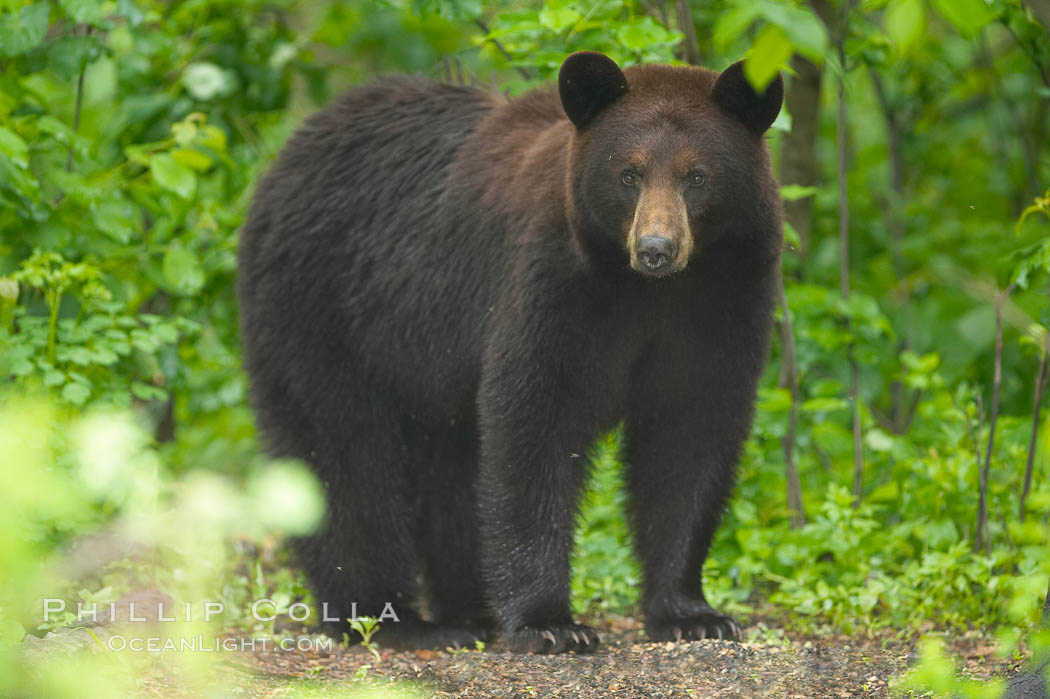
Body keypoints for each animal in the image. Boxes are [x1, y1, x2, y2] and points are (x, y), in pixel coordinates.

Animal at [236, 50, 781, 654]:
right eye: (629, 173)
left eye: (697, 176)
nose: (656, 249)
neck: (648, 292)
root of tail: (288, 152)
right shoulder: (554, 286)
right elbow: (534, 421)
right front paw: (551, 624)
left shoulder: (719, 305)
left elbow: (689, 436)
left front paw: (692, 614)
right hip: (329, 308)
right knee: (342, 451)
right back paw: (388, 617)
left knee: (450, 465)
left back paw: (467, 610)